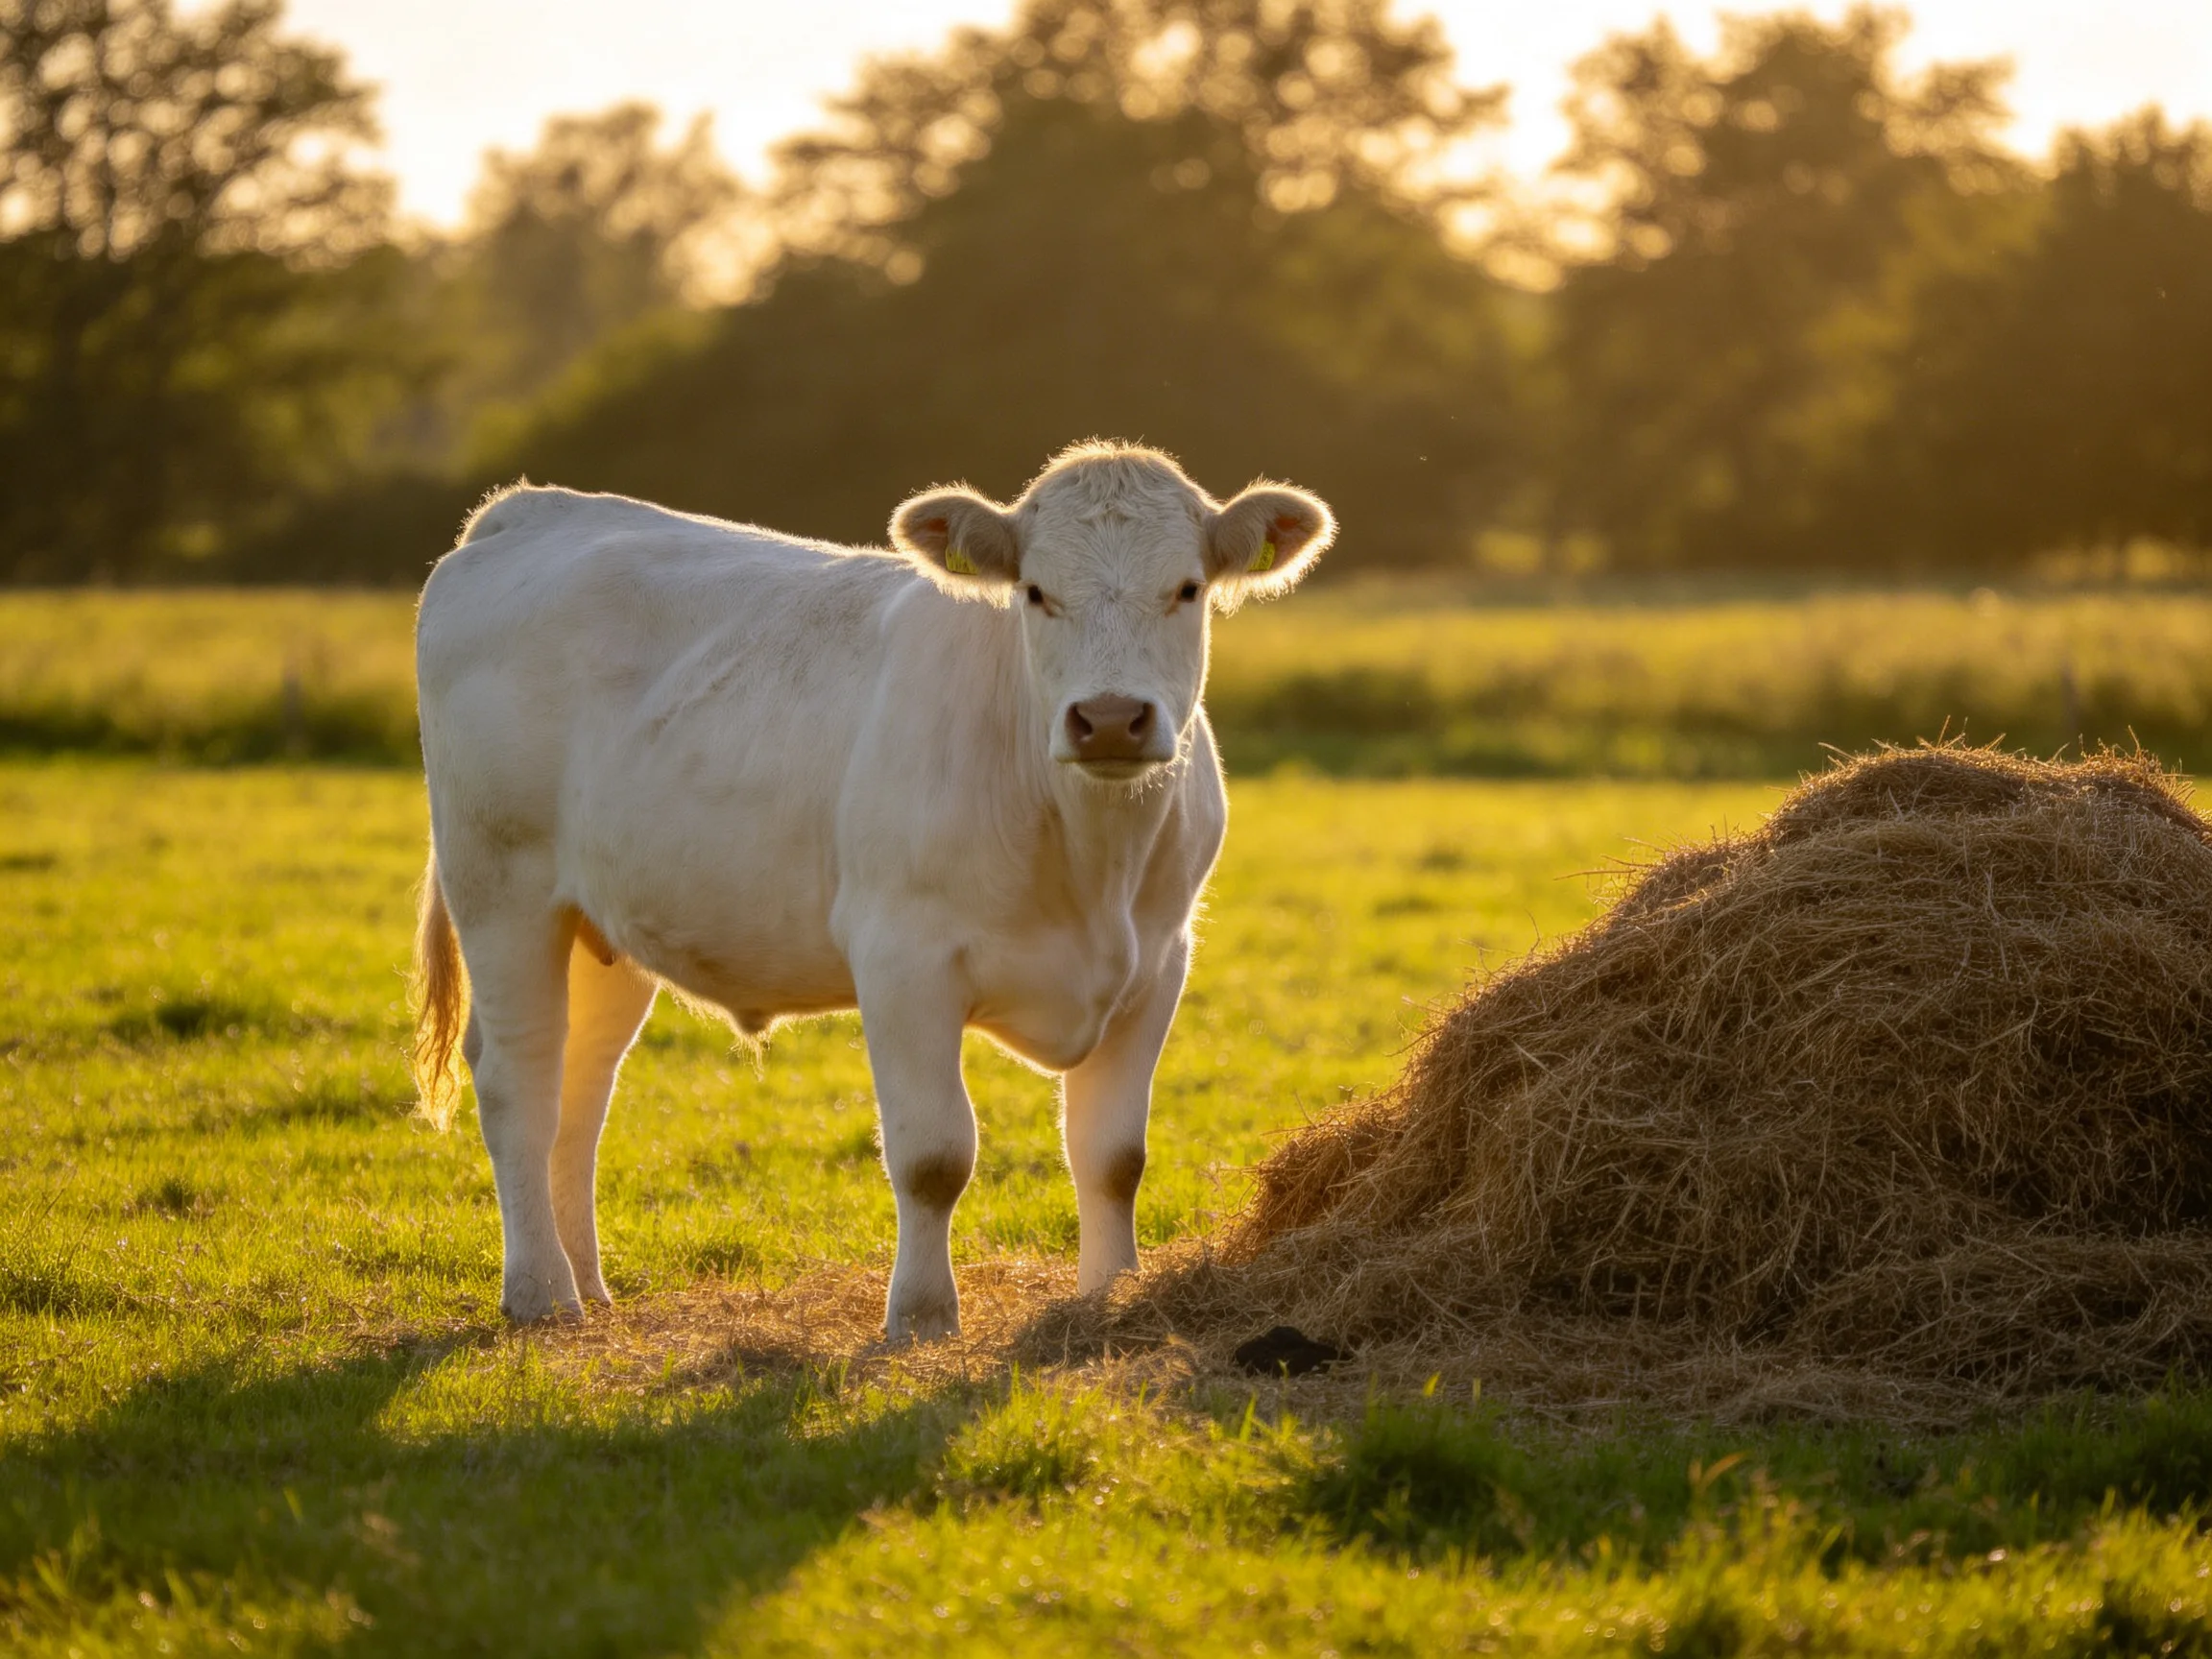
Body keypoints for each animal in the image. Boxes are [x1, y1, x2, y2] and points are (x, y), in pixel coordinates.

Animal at [410, 441, 1334, 1339]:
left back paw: (590, 1284)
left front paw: (1109, 1292)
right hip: (501, 885)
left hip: (601, 926)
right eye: (1037, 592)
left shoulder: (1158, 963)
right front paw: (922, 1315)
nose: (1109, 718)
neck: (1091, 860)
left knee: (580, 1086)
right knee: (517, 1079)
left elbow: (1112, 1156)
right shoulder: (903, 961)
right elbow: (933, 1157)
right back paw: (541, 1292)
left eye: (1186, 588)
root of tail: (535, 508)